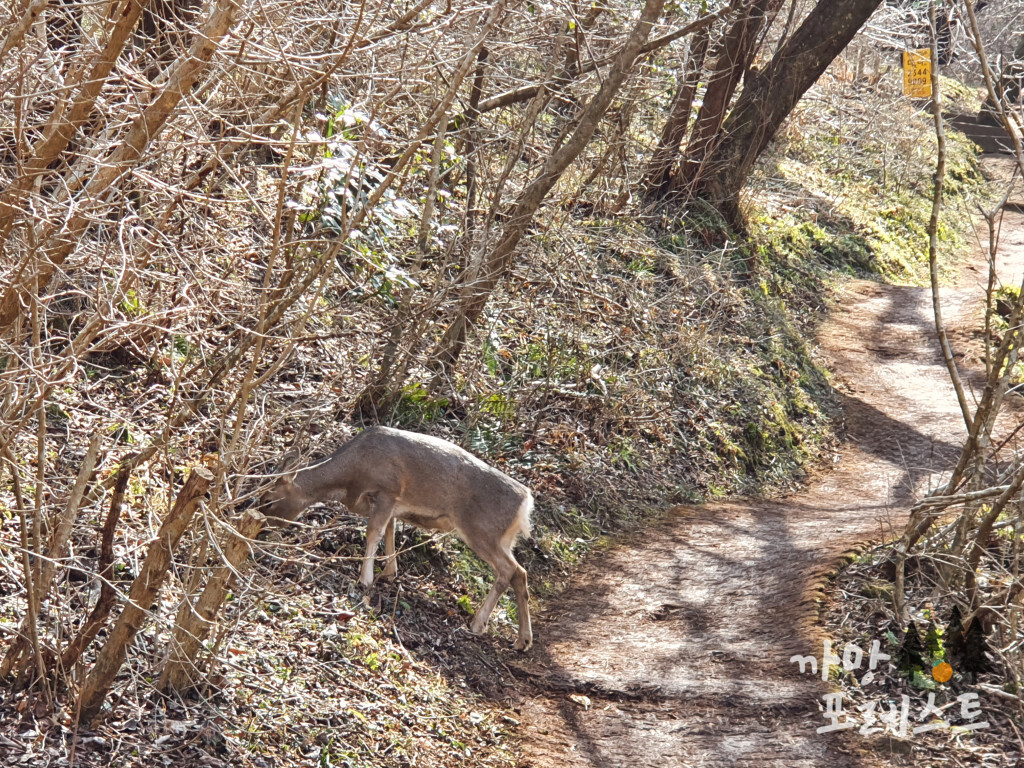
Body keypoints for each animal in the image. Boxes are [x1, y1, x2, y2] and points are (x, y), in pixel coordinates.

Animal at [262, 428, 536, 651]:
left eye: (268, 499)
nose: (262, 530)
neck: (351, 475)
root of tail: (526, 502)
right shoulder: (393, 505)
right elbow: (390, 533)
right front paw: (389, 573)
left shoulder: (387, 490)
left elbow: (374, 532)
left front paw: (365, 580)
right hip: (503, 539)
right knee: (520, 572)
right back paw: (522, 640)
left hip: (482, 530)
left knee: (508, 570)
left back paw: (478, 623)